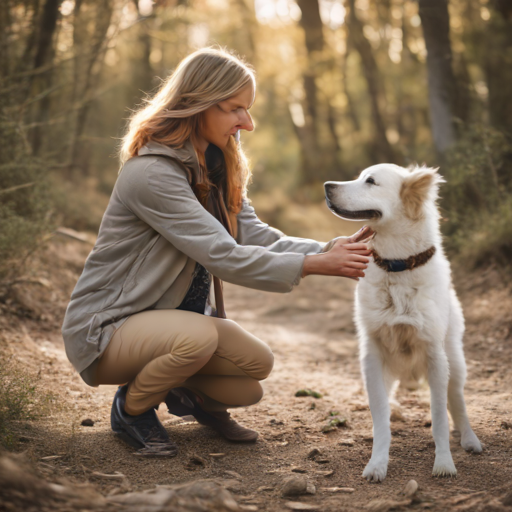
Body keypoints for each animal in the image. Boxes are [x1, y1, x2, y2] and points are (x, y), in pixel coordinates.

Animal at [326, 166, 482, 482]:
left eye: (370, 181)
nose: (326, 186)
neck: (395, 267)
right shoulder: (372, 357)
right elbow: (380, 419)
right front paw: (377, 463)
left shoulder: (436, 356)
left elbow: (439, 418)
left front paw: (444, 463)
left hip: (456, 364)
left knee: (457, 403)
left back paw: (470, 439)